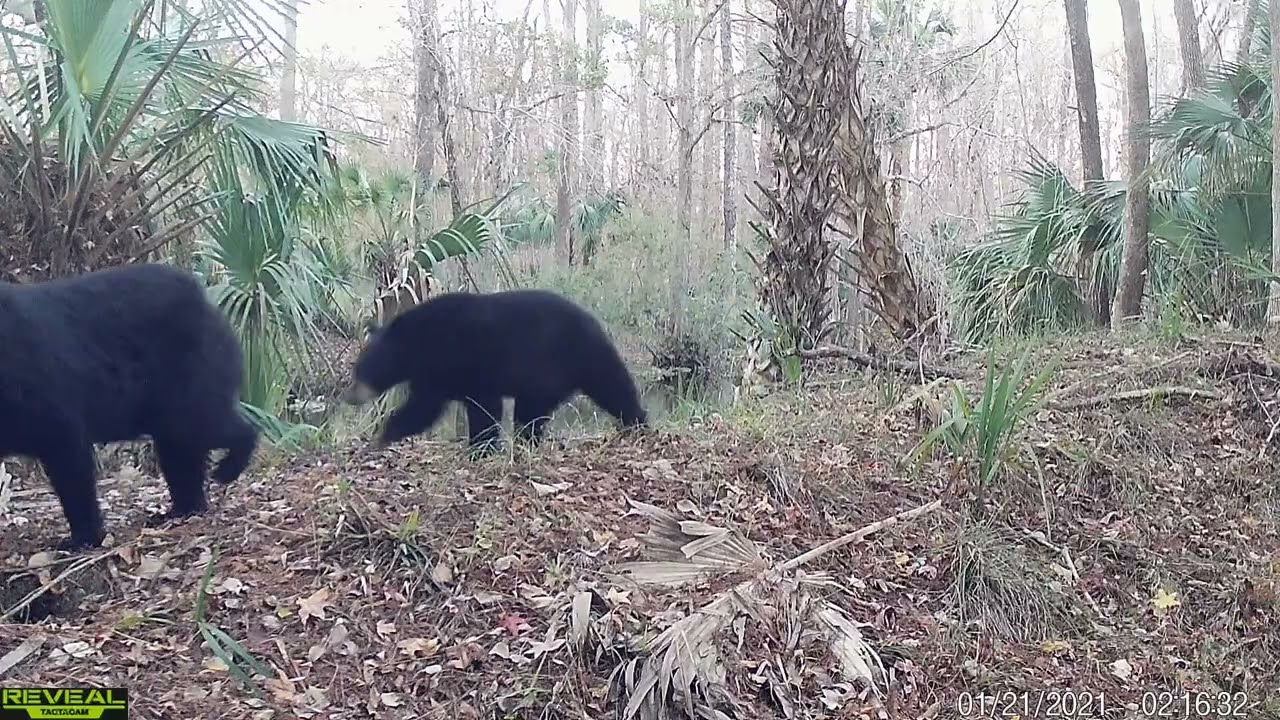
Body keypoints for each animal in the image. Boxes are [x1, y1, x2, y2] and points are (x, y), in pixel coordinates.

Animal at [0, 263, 260, 551]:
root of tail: (205, 302)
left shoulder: (54, 417)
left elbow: (73, 477)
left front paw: (83, 539)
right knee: (179, 453)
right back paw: (180, 511)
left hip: (188, 388)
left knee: (215, 427)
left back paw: (227, 470)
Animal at [343, 288, 648, 454]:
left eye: (360, 371)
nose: (349, 396)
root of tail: (595, 323)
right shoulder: (439, 375)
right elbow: (433, 407)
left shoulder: (460, 360)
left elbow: (451, 407)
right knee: (531, 414)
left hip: (575, 358)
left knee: (613, 387)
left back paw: (638, 422)